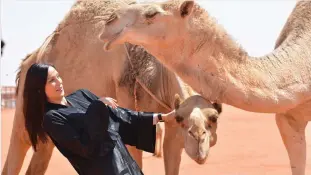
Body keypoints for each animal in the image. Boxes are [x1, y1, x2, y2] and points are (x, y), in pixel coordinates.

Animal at [1, 0, 223, 174]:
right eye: (182, 119)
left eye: (213, 118)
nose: (199, 142)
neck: (158, 70)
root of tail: (30, 59)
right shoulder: (129, 96)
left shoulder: (170, 119)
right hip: (25, 108)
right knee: (16, 149)